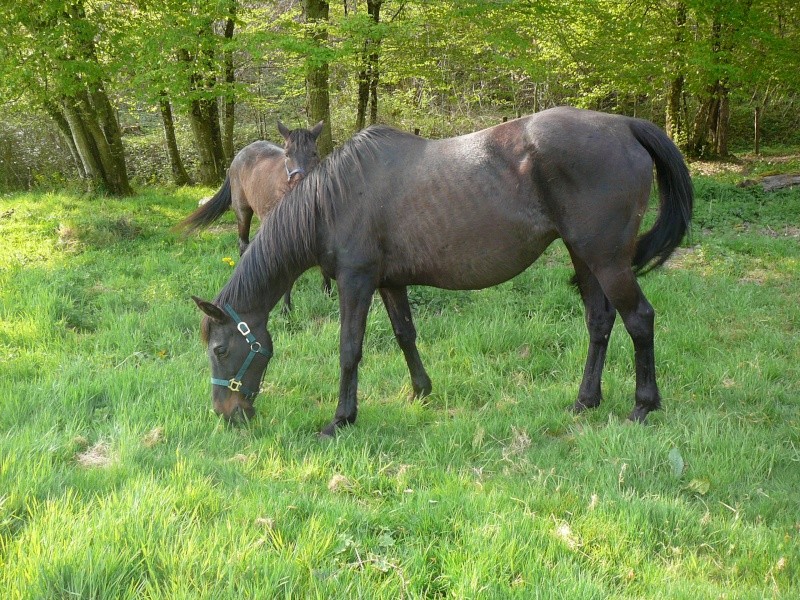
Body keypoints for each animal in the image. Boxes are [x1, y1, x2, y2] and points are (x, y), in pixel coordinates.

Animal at [178, 120, 328, 312]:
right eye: (287, 154)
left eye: (314, 153)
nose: (299, 185)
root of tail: (239, 156)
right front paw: (286, 308)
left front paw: (328, 292)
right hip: (243, 213)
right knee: (243, 245)